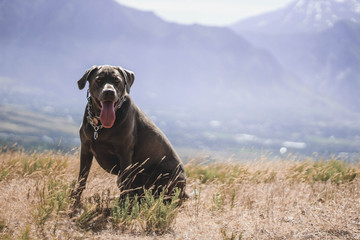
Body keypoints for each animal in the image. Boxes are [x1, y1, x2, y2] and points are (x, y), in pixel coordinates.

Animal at [71, 64, 187, 203]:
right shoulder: (86, 150)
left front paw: (121, 206)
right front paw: (75, 203)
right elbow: (82, 179)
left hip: (163, 177)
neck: (99, 125)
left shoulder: (125, 154)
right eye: (99, 80)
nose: (109, 92)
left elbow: (126, 184)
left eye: (117, 80)